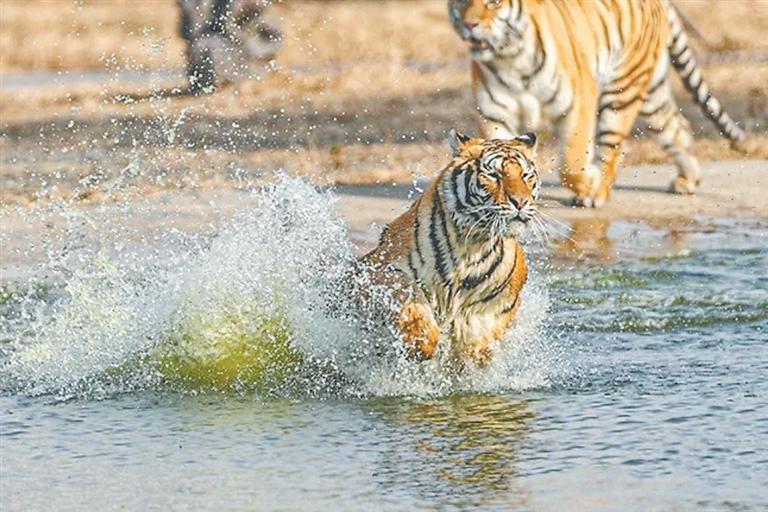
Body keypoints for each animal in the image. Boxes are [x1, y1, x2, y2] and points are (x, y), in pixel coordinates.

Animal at [361, 130, 540, 365]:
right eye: (493, 175)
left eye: (526, 176)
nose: (521, 202)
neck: (472, 245)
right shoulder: (384, 270)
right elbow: (414, 309)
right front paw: (422, 343)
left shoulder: (500, 303)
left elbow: (477, 343)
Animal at [449, 0, 747, 207]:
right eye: (463, 2)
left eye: (493, 3)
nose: (470, 25)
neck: (510, 58)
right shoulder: (494, 115)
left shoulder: (579, 101)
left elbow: (572, 161)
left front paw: (588, 180)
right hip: (653, 96)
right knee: (677, 128)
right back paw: (688, 179)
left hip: (623, 90)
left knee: (613, 149)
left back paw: (597, 193)